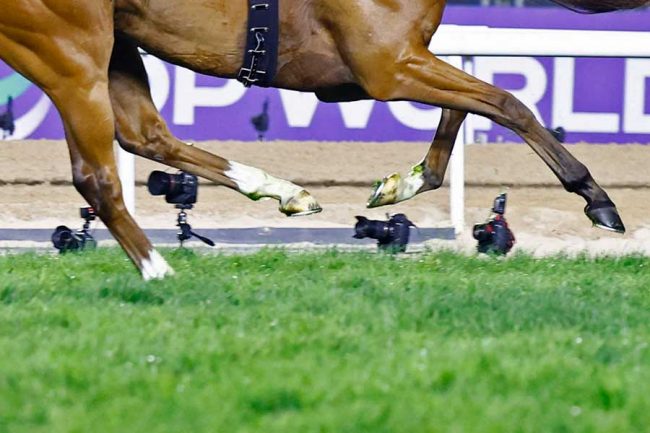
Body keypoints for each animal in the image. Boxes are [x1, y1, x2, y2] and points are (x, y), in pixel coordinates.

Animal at [1, 0, 645, 279]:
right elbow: (509, 103)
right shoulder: (386, 64)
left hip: (114, 43)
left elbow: (466, 107)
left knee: (146, 135)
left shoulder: (387, 62)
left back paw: (283, 191)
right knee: (96, 175)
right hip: (69, 49)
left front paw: (403, 184)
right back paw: (158, 270)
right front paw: (595, 197)